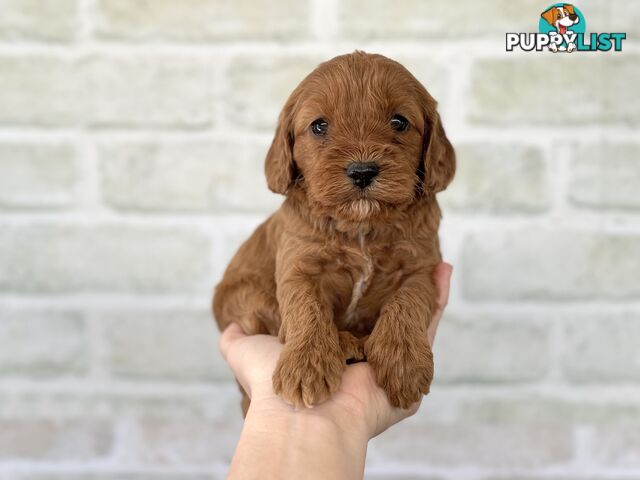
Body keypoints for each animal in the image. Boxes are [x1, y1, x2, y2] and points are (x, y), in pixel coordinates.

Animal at [215, 50, 456, 414]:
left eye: (399, 122)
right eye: (319, 126)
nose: (362, 171)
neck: (361, 227)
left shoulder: (420, 268)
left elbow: (408, 302)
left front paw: (404, 363)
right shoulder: (298, 266)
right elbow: (306, 307)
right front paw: (307, 366)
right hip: (246, 298)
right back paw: (344, 344)